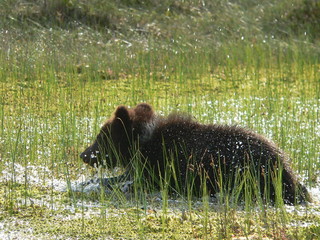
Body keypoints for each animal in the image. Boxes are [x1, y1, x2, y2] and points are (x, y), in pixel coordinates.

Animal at [79, 103, 310, 204]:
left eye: (101, 136)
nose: (84, 154)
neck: (142, 144)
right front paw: (87, 182)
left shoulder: (166, 165)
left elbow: (136, 181)